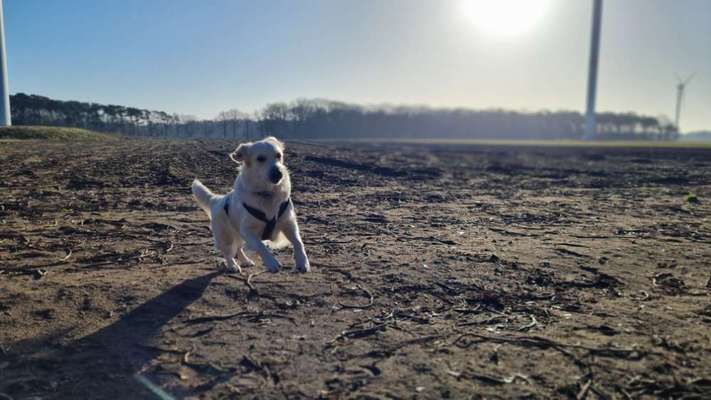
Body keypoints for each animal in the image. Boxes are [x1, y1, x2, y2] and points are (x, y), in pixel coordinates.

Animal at [191, 138, 310, 276]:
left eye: (278, 155)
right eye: (260, 158)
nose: (279, 173)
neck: (267, 194)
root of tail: (217, 199)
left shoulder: (288, 222)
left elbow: (298, 242)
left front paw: (302, 262)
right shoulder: (247, 230)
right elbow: (260, 246)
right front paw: (271, 262)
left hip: (239, 235)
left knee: (239, 248)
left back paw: (245, 261)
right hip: (225, 237)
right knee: (228, 252)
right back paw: (233, 266)